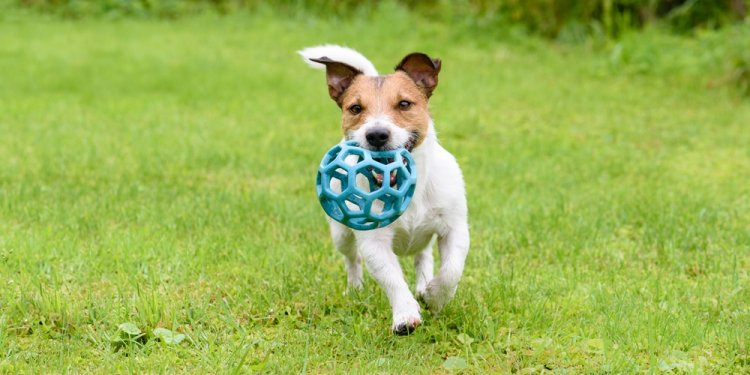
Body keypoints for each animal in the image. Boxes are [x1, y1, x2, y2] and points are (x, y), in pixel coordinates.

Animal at [300, 44, 470, 334]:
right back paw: (355, 289)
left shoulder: (455, 228)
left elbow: (451, 271)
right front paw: (405, 315)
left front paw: (434, 296)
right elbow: (392, 279)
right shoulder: (373, 241)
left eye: (404, 104)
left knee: (423, 256)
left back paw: (423, 283)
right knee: (352, 260)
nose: (377, 135)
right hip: (341, 234)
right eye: (355, 108)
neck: (410, 186)